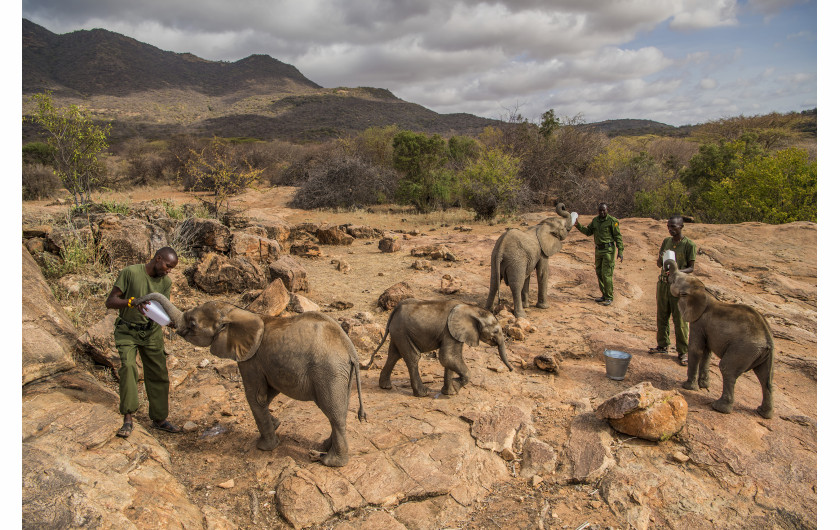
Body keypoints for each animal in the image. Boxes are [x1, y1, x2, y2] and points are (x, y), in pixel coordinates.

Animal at [360, 296, 512, 396]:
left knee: (394, 355)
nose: (511, 370)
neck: (471, 308)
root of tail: (395, 310)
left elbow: (450, 359)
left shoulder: (454, 333)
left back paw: (385, 387)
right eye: (496, 331)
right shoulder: (450, 331)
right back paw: (423, 393)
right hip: (402, 331)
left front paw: (450, 393)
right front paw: (455, 387)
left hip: (398, 332)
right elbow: (447, 357)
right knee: (413, 357)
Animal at [668, 260, 776, 416]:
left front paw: (688, 387)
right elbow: (706, 352)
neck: (705, 291)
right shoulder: (706, 328)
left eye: (675, 280)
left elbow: (696, 350)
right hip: (762, 354)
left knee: (727, 368)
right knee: (766, 377)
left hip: (744, 349)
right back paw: (763, 413)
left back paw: (719, 407)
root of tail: (767, 339)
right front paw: (703, 385)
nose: (667, 271)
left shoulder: (699, 322)